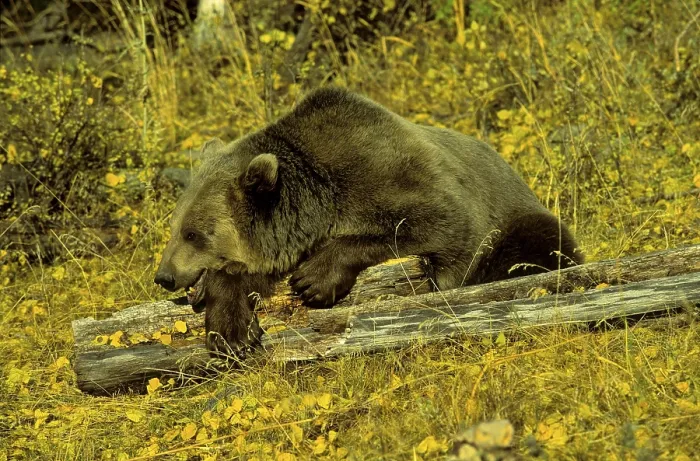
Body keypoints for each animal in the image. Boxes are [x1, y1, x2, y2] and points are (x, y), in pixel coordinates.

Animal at [154, 87, 583, 356]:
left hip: (521, 218)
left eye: (193, 233)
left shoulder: (391, 175)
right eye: (175, 228)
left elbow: (437, 223)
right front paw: (230, 330)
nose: (164, 276)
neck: (319, 203)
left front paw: (314, 279)